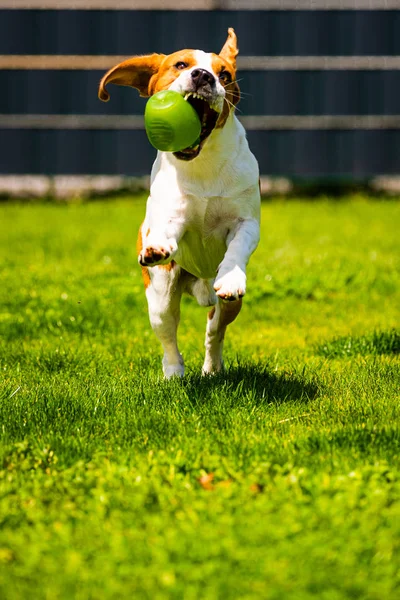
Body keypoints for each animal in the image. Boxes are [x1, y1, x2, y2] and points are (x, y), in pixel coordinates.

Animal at [99, 28, 260, 378]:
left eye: (224, 74)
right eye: (181, 64)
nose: (203, 76)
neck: (201, 165)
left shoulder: (247, 221)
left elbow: (239, 244)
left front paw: (231, 276)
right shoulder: (172, 215)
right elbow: (167, 229)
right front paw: (157, 246)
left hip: (228, 307)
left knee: (215, 329)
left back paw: (212, 367)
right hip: (160, 296)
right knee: (168, 334)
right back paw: (173, 372)